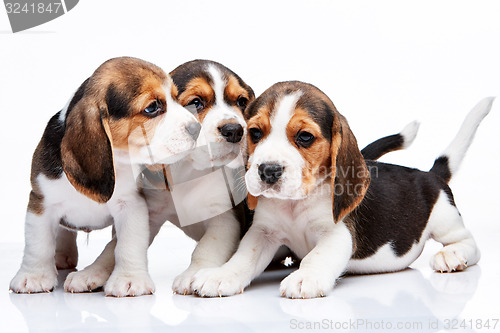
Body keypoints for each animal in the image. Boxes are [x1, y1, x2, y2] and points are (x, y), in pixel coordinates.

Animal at [9, 57, 201, 296]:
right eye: (152, 107)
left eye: (176, 97)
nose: (197, 128)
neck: (117, 159)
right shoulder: (41, 202)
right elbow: (38, 244)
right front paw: (33, 276)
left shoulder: (132, 205)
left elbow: (128, 245)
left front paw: (129, 279)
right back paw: (61, 256)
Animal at [190, 81, 492, 298]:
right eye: (254, 133)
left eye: (305, 137)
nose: (268, 170)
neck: (294, 203)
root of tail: (430, 174)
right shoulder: (263, 232)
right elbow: (243, 257)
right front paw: (221, 275)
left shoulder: (338, 233)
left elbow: (318, 255)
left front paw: (305, 277)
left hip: (444, 217)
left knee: (469, 244)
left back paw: (452, 255)